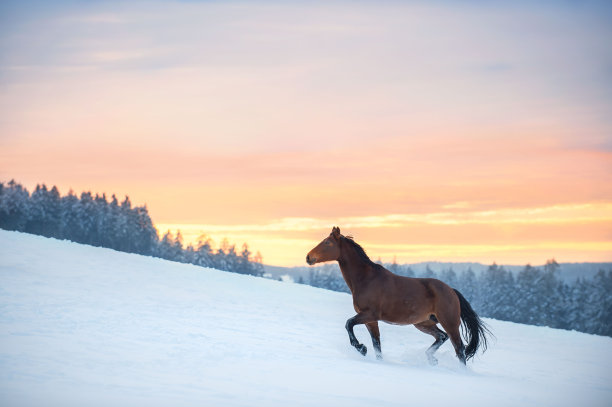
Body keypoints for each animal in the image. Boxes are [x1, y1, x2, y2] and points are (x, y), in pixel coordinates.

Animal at [306, 228, 492, 364]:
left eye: (327, 242)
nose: (308, 257)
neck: (366, 280)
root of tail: (451, 290)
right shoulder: (371, 320)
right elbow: (376, 344)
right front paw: (374, 357)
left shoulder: (370, 314)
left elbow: (348, 324)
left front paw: (361, 348)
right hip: (423, 323)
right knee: (442, 337)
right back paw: (431, 359)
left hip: (449, 322)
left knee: (459, 349)